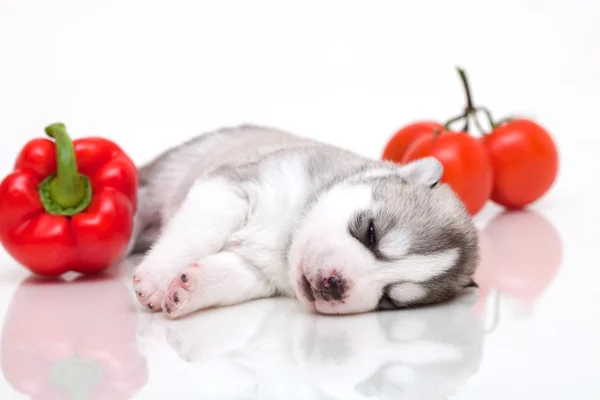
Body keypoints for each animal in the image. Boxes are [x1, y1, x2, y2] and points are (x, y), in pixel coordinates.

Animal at [130, 123, 478, 318]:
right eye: (370, 232)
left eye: (389, 300)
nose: (334, 286)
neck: (286, 241)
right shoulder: (230, 188)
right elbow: (195, 235)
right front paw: (156, 280)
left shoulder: (260, 274)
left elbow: (230, 277)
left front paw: (186, 289)